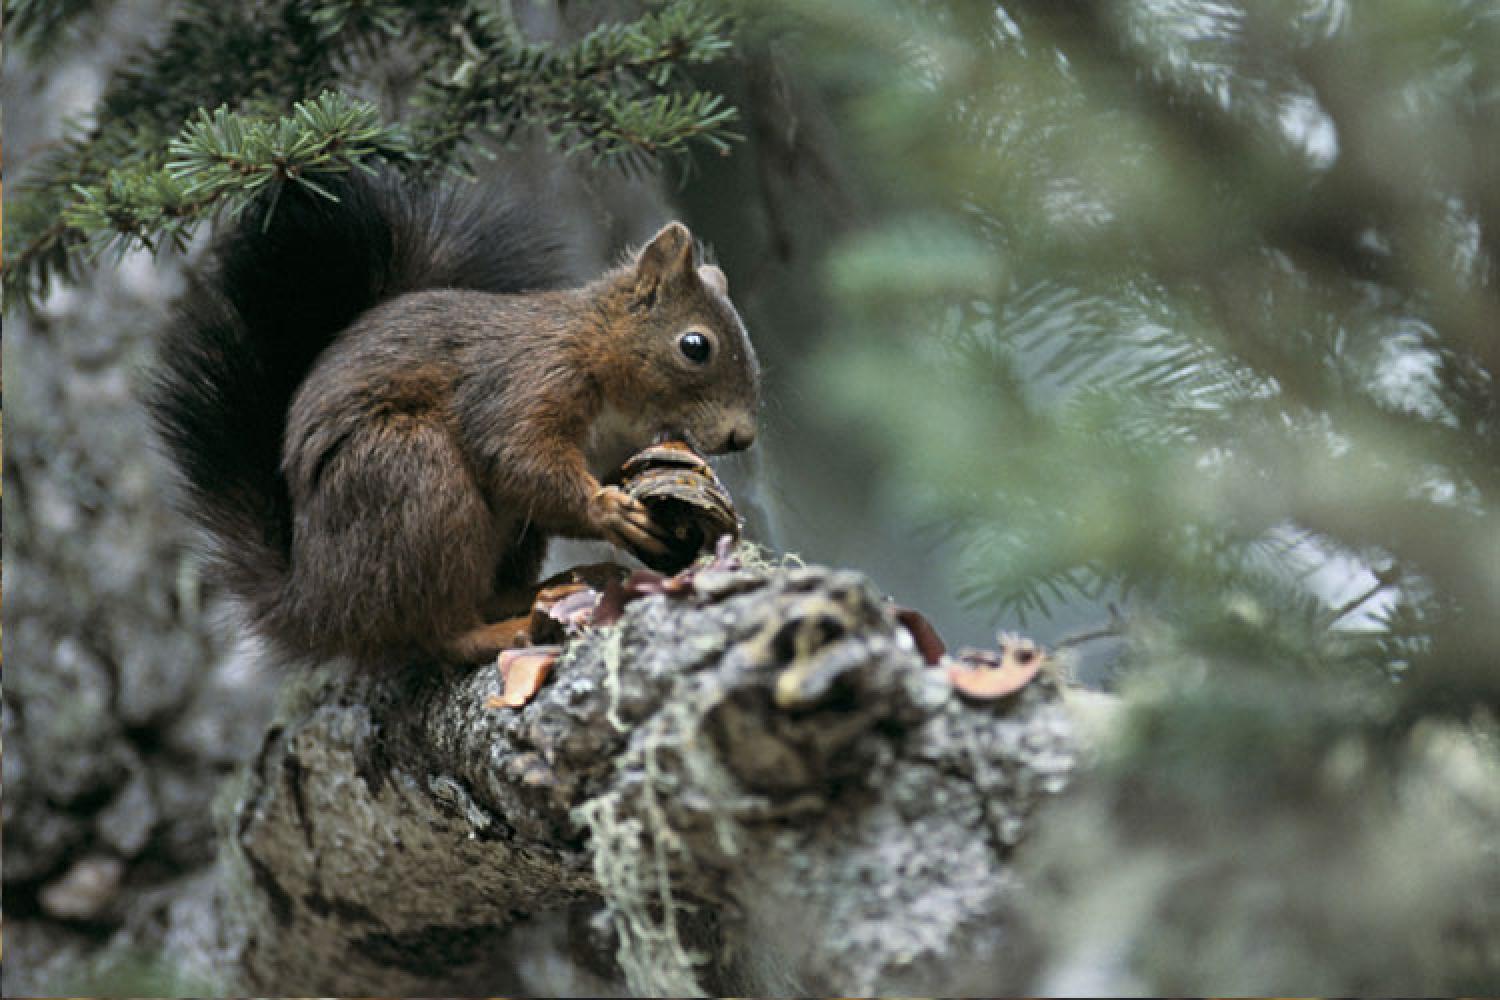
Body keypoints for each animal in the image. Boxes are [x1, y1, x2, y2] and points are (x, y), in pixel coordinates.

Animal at [149, 173, 762, 665]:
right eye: (695, 346)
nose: (742, 437)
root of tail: (320, 605)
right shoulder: (525, 386)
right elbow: (519, 460)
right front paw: (608, 511)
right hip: (415, 478)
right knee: (434, 633)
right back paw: (501, 632)